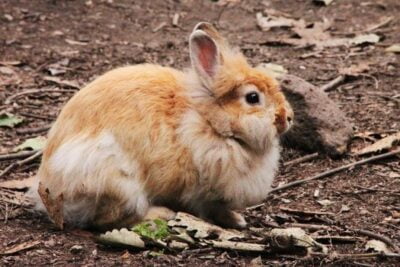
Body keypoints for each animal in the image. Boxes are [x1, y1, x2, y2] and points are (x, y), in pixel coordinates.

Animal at [29, 22, 294, 231]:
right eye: (253, 98)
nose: (288, 117)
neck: (210, 121)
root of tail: (49, 186)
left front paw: (238, 219)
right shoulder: (203, 191)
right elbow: (211, 208)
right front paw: (235, 220)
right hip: (115, 181)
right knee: (108, 220)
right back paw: (160, 214)